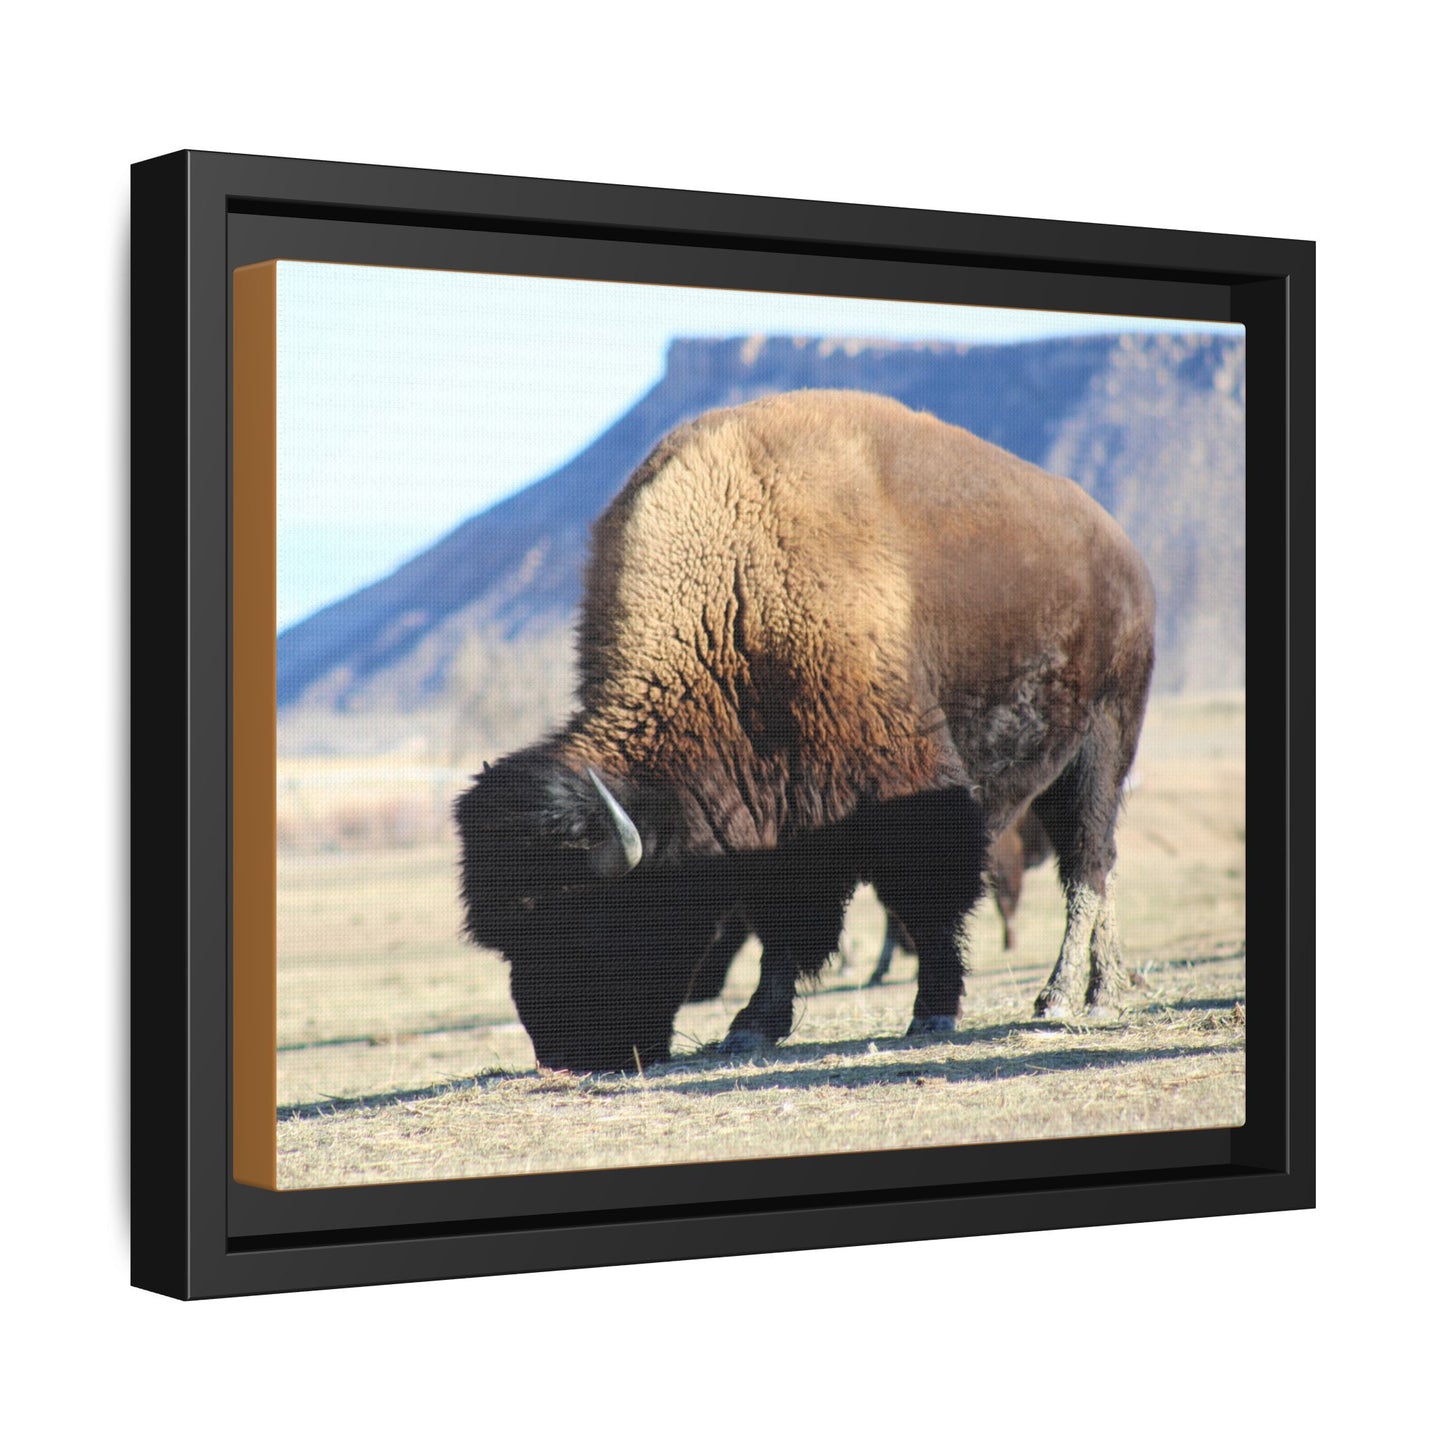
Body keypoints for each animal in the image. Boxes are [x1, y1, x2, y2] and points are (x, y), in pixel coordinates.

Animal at [456, 390, 1155, 1071]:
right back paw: (1104, 988)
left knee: (1087, 865)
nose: (564, 1055)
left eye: (582, 914)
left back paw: (1067, 997)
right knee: (1100, 866)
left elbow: (927, 900)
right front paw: (752, 1027)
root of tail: (1123, 553)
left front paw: (933, 1011)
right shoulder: (779, 819)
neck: (734, 601)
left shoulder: (905, 787)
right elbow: (783, 925)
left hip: (1101, 744)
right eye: (507, 936)